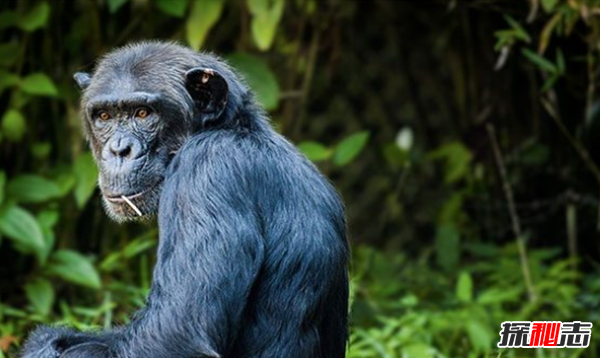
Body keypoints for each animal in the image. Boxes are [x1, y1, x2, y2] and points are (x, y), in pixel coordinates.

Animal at [21, 40, 350, 356]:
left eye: (143, 113)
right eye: (104, 116)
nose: (119, 149)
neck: (232, 129)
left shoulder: (206, 172)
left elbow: (175, 332)